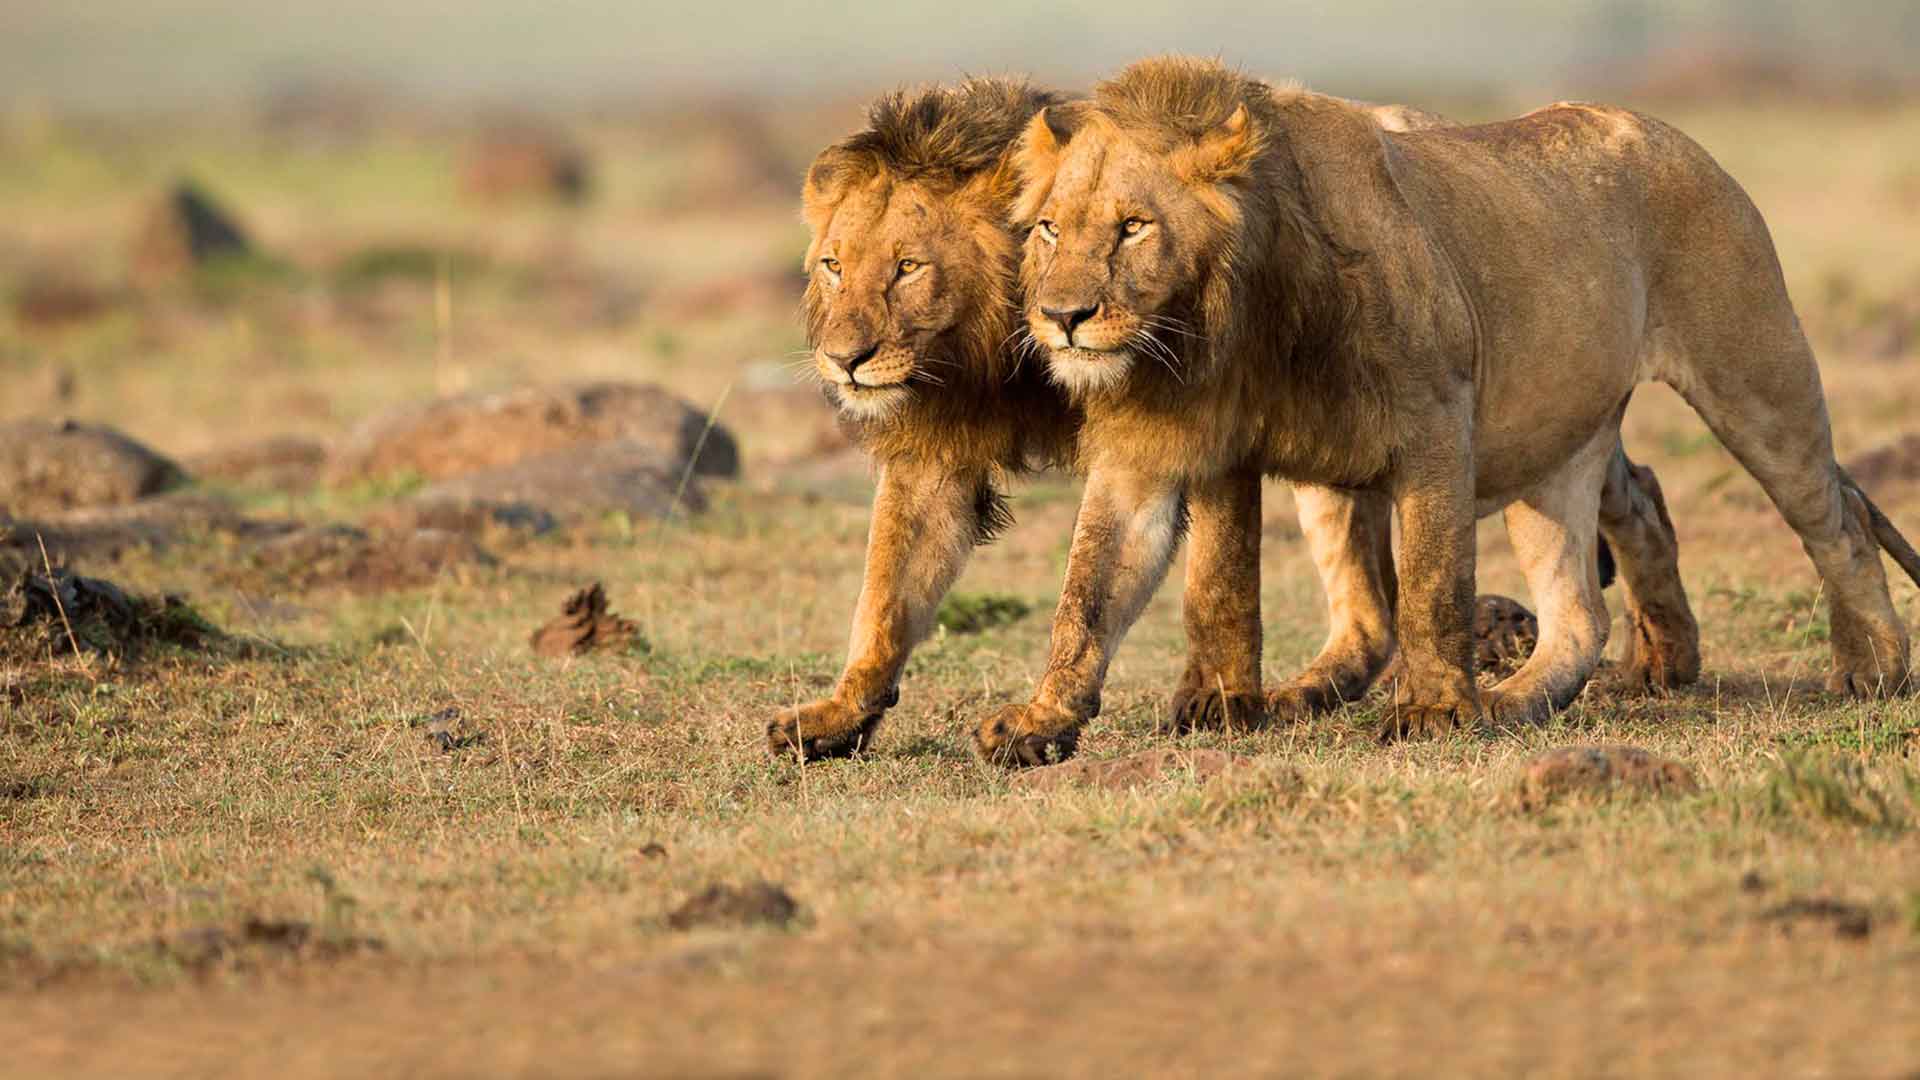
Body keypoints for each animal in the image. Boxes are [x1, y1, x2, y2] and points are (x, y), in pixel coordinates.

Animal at [975, 54, 1920, 760]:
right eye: (1050, 228)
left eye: (1134, 226)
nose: (1060, 317)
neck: (1219, 330)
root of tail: (1669, 131)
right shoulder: (1163, 447)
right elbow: (1119, 589)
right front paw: (1054, 720)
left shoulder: (1434, 422)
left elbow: (1431, 581)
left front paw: (1432, 711)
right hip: (1549, 439)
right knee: (1579, 596)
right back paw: (1561, 685)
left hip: (1753, 374)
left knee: (1833, 517)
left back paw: (1872, 669)